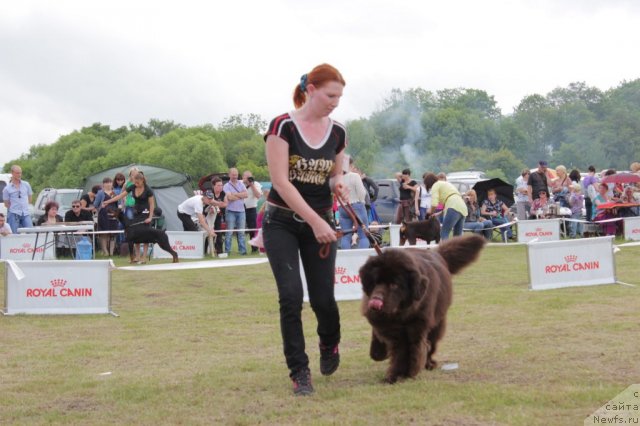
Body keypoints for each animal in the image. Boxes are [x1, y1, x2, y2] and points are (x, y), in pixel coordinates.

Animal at [360, 235, 484, 384]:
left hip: (437, 323)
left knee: (431, 344)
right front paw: (394, 375)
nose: (375, 300)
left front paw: (410, 372)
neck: (401, 314)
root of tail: (436, 253)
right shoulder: (392, 330)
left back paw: (429, 363)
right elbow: (399, 352)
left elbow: (415, 349)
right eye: (375, 282)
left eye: (394, 285)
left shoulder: (417, 326)